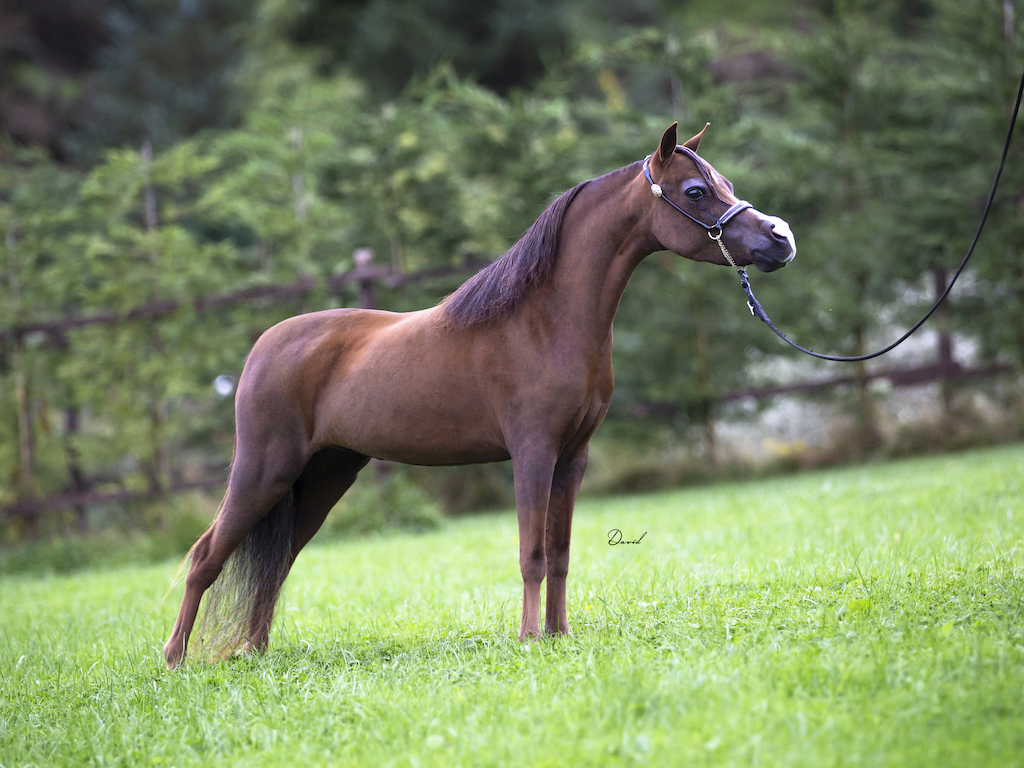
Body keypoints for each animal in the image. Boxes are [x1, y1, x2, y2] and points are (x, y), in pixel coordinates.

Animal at [163, 122, 796, 668]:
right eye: (695, 190)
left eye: (726, 184)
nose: (780, 238)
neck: (546, 320)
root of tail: (263, 347)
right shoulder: (533, 455)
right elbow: (531, 553)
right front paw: (529, 638)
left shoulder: (573, 459)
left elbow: (560, 553)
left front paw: (560, 634)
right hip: (263, 473)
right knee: (205, 557)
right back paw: (173, 661)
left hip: (323, 477)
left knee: (277, 564)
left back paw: (254, 653)